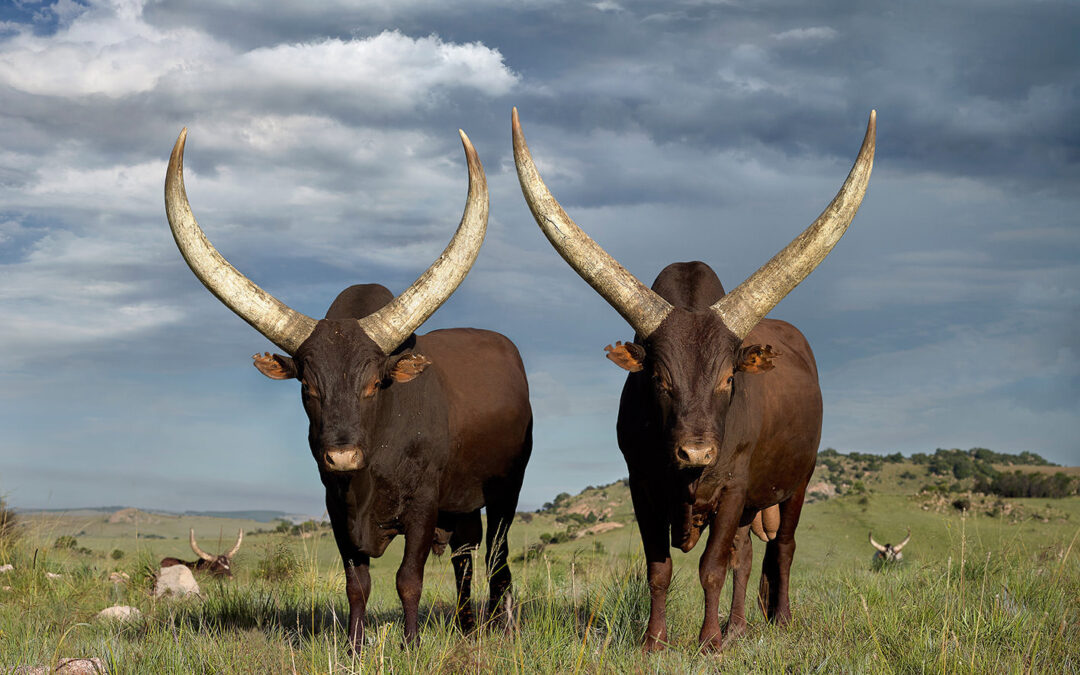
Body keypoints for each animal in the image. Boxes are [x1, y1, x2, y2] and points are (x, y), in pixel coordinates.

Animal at [164, 128, 533, 651]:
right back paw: (465, 627)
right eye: (307, 384)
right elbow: (357, 583)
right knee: (464, 556)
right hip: (461, 505)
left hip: (505, 490)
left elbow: (408, 578)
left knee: (495, 560)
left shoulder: (422, 507)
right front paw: (356, 647)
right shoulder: (336, 509)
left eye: (375, 384)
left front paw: (410, 645)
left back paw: (499, 628)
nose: (341, 457)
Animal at [512, 108, 875, 651]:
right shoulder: (642, 487)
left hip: (799, 480)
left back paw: (778, 620)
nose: (696, 453)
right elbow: (660, 569)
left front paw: (707, 643)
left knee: (782, 548)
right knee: (747, 554)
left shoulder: (734, 487)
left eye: (728, 378)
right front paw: (655, 641)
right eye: (659, 378)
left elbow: (711, 567)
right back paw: (739, 627)